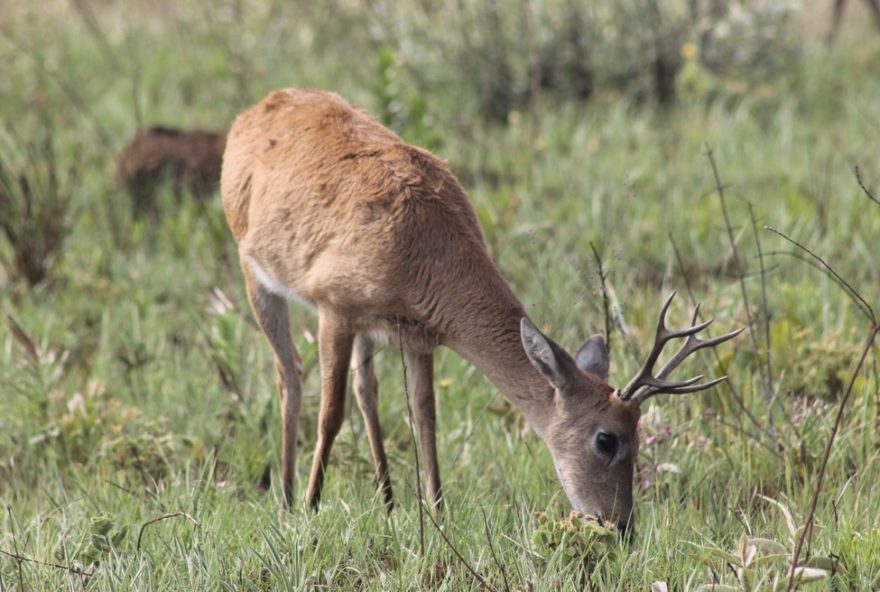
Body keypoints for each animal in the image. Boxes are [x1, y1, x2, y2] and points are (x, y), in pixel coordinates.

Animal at [220, 89, 744, 532]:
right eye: (606, 438)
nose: (620, 526)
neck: (424, 246)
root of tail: (256, 110)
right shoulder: (334, 307)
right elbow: (331, 412)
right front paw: (311, 510)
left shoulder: (416, 336)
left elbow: (425, 417)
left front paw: (436, 512)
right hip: (255, 277)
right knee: (290, 375)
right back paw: (288, 499)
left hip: (367, 330)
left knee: (365, 390)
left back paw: (386, 500)